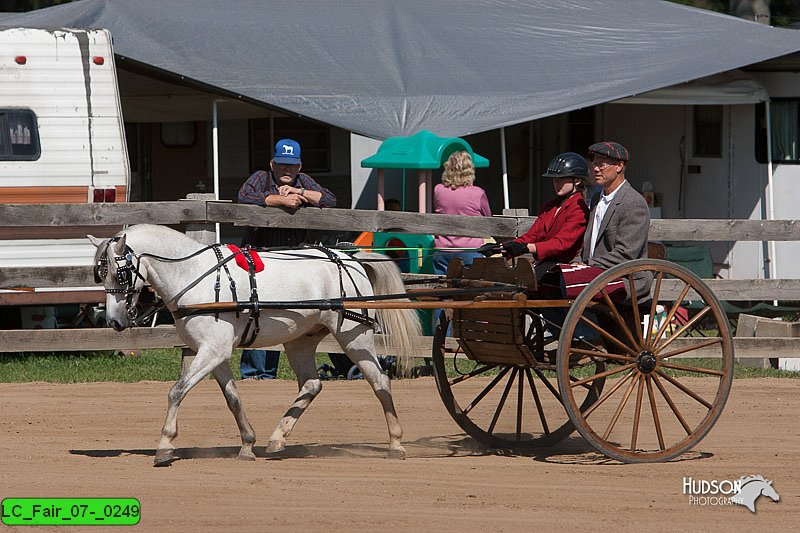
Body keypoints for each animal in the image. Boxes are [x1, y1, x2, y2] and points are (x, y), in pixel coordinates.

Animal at [90, 222, 422, 464]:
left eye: (120, 274)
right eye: (100, 274)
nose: (114, 321)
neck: (196, 277)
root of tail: (349, 258)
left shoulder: (212, 351)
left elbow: (177, 391)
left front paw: (164, 445)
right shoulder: (214, 353)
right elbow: (233, 398)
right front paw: (248, 444)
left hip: (355, 337)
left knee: (380, 381)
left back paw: (395, 443)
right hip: (300, 341)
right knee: (312, 384)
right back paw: (277, 439)